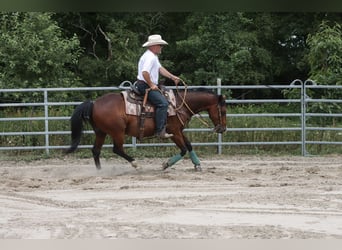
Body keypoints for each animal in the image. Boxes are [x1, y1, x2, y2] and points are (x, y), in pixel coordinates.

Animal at [66, 85, 227, 170]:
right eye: (223, 111)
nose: (223, 129)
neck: (178, 104)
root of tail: (93, 103)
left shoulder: (179, 131)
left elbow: (189, 145)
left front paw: (197, 165)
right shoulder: (174, 132)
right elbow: (183, 149)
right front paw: (165, 164)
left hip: (101, 132)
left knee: (96, 151)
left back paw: (99, 171)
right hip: (117, 132)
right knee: (117, 149)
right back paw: (136, 164)